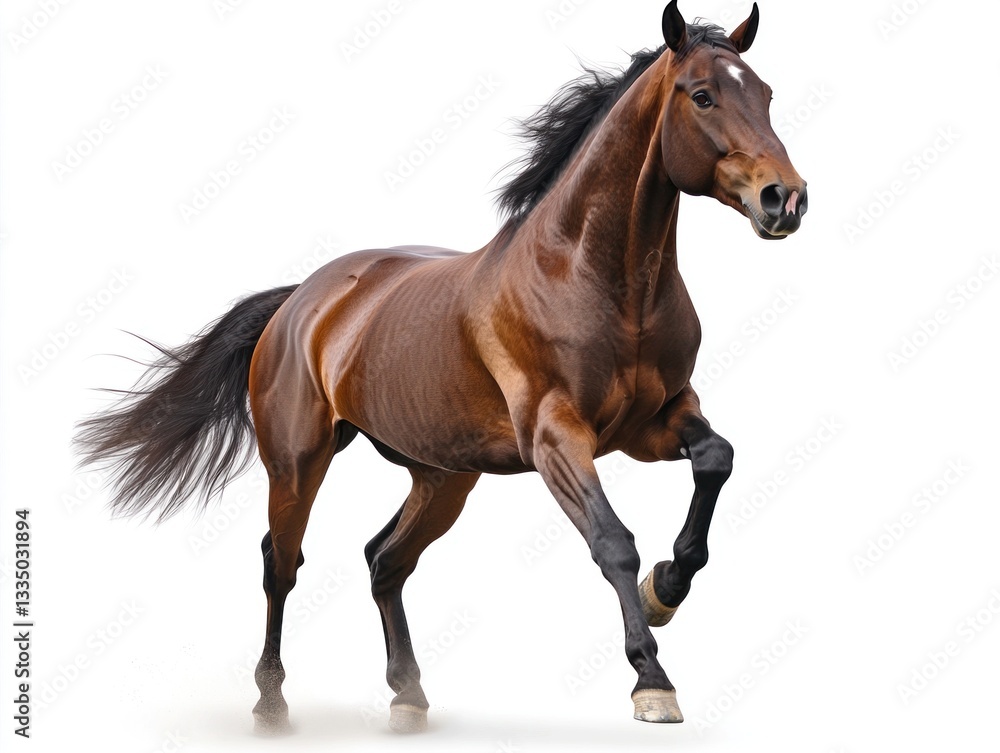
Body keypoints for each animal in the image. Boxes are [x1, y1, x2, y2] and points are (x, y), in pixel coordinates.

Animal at [75, 0, 807, 734]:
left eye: (767, 93)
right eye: (703, 95)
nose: (786, 199)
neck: (598, 280)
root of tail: (299, 301)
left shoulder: (655, 421)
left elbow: (716, 459)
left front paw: (666, 589)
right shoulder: (556, 437)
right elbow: (612, 540)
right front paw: (651, 680)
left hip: (443, 476)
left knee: (383, 561)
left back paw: (407, 695)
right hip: (298, 460)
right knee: (281, 564)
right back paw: (272, 702)